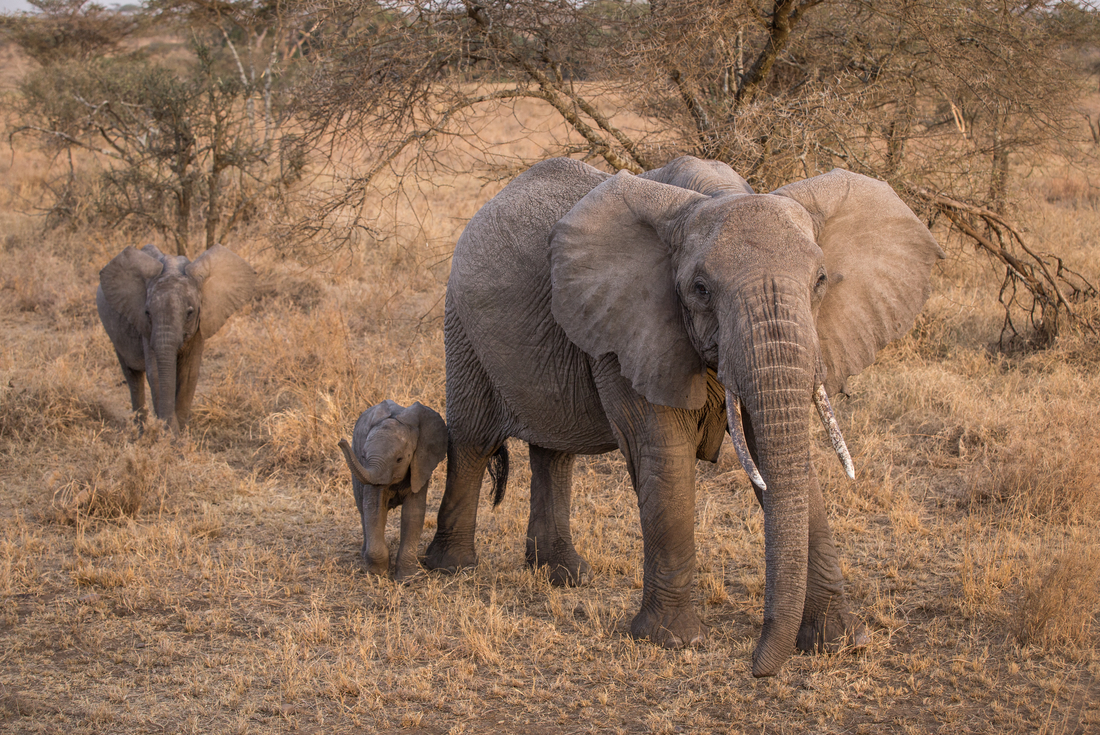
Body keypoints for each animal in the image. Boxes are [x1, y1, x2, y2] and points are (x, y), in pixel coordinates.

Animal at [96, 243, 256, 433]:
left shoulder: (199, 325)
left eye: (190, 313)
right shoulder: (146, 329)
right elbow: (156, 374)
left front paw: (179, 434)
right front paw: (169, 433)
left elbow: (188, 374)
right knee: (132, 376)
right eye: (147, 313)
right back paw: (140, 433)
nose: (165, 426)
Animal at [337, 400, 462, 581]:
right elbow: (374, 509)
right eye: (363, 455)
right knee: (362, 510)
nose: (341, 441)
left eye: (399, 459)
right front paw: (377, 573)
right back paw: (364, 555)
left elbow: (413, 513)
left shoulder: (421, 465)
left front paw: (407, 579)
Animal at [424, 156, 943, 677]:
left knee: (555, 452)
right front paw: (671, 640)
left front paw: (839, 642)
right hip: (461, 323)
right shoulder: (631, 327)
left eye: (820, 281)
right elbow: (666, 453)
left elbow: (777, 457)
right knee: (472, 439)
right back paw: (452, 568)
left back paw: (565, 576)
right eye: (700, 289)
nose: (754, 666)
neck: (716, 193)